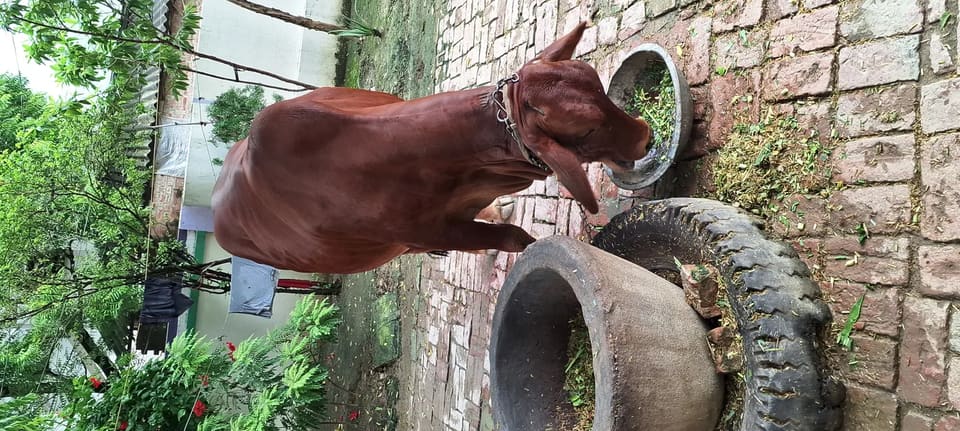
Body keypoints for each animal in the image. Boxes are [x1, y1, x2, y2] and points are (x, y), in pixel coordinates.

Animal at [211, 22, 651, 274]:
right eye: (587, 126)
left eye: (595, 82)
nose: (645, 134)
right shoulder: (432, 233)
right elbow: (516, 240)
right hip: (399, 247)